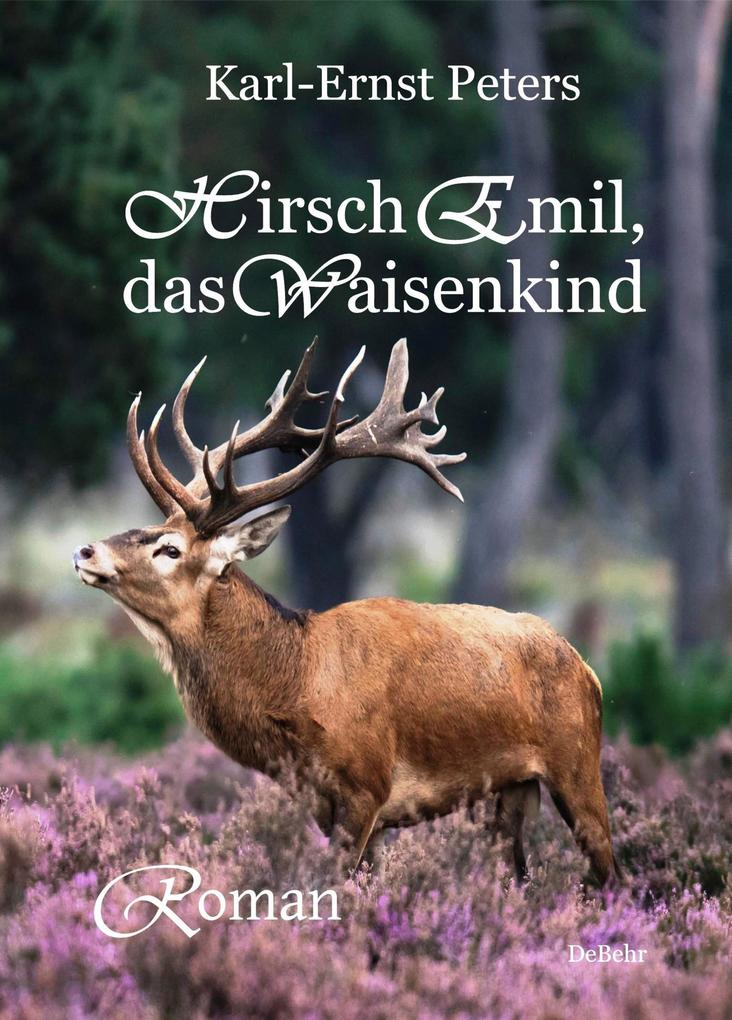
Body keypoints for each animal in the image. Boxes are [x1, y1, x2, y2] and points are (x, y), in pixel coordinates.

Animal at [73, 338, 619, 886]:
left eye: (170, 548)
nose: (85, 551)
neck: (296, 684)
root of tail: (587, 669)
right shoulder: (327, 805)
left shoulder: (367, 786)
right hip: (511, 791)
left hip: (577, 764)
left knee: (610, 870)